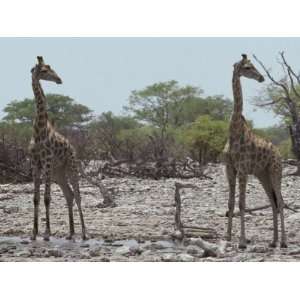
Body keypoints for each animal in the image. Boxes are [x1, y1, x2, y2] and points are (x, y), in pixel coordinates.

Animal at [28, 55, 86, 240]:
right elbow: (36, 198)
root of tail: (73, 148)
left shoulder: (46, 161)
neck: (39, 130)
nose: (59, 79)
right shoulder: (35, 162)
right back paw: (71, 233)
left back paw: (84, 233)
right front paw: (34, 233)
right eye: (44, 70)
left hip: (71, 167)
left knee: (77, 195)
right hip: (58, 173)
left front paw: (47, 233)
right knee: (69, 195)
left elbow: (47, 198)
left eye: (51, 67)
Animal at [226, 53, 288, 248]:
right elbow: (231, 203)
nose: (261, 77)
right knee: (273, 202)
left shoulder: (243, 169)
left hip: (275, 171)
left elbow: (241, 204)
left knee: (281, 202)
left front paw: (242, 242)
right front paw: (227, 237)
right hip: (263, 175)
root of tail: (279, 153)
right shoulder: (229, 169)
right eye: (247, 67)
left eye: (252, 65)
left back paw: (283, 242)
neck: (234, 131)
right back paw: (273, 241)